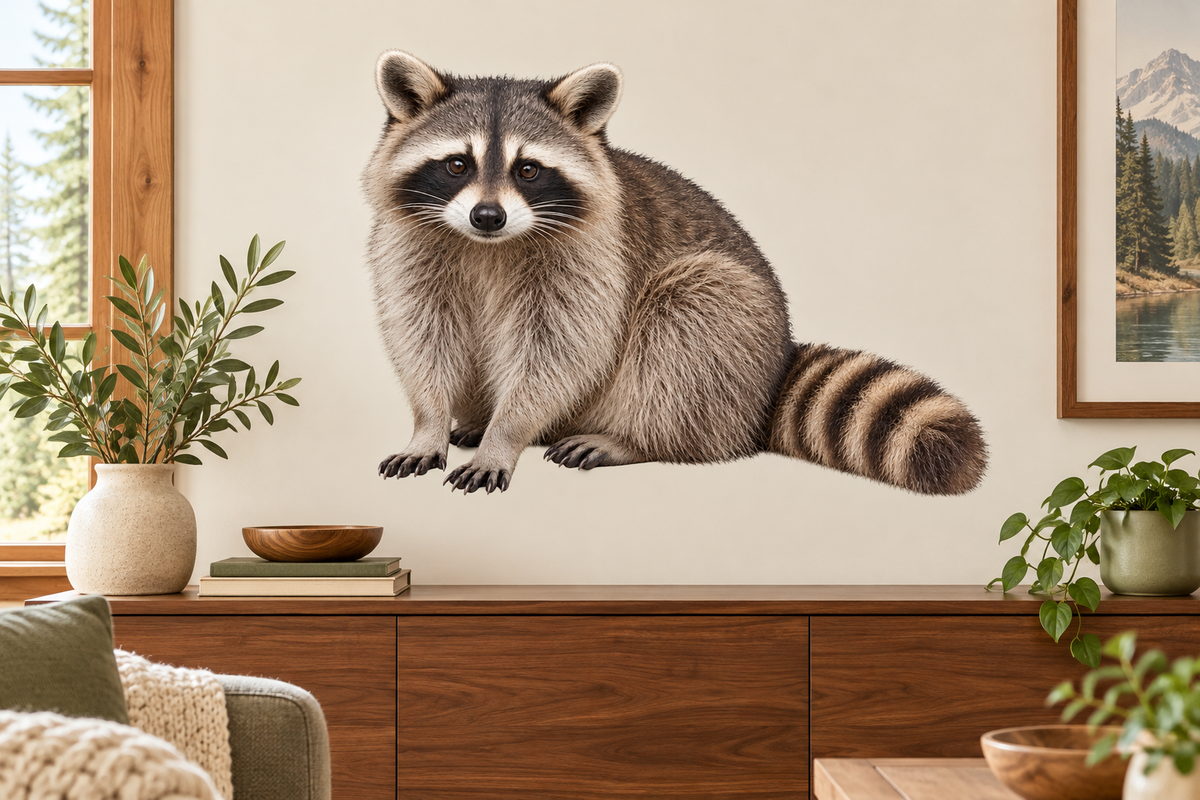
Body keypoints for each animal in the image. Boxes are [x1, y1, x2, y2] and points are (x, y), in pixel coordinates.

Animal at [363, 51, 987, 495]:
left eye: (529, 170)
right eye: (457, 164)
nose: (487, 216)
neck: (487, 245)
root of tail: (769, 376)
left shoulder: (592, 260)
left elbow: (560, 352)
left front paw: (506, 435)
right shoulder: (413, 246)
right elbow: (423, 334)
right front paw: (430, 423)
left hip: (730, 326)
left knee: (686, 319)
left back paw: (634, 438)